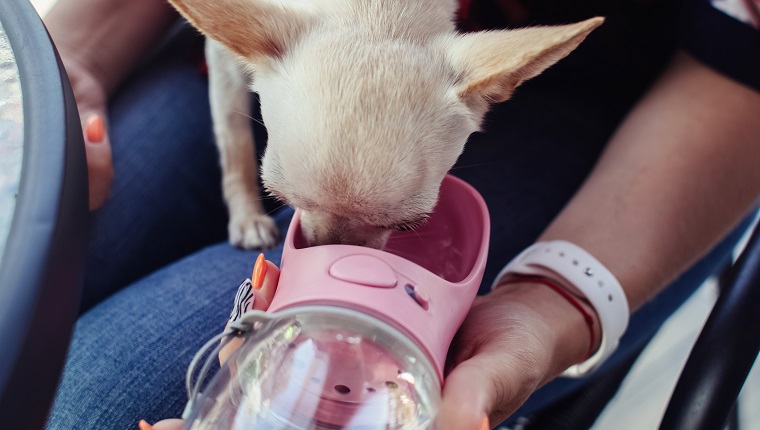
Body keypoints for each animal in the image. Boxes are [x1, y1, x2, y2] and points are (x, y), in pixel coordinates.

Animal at [166, 0, 600, 249]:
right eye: (277, 197)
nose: (326, 249)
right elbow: (234, 141)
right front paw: (247, 217)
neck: (374, 9)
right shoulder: (222, 58)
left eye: (409, 226)